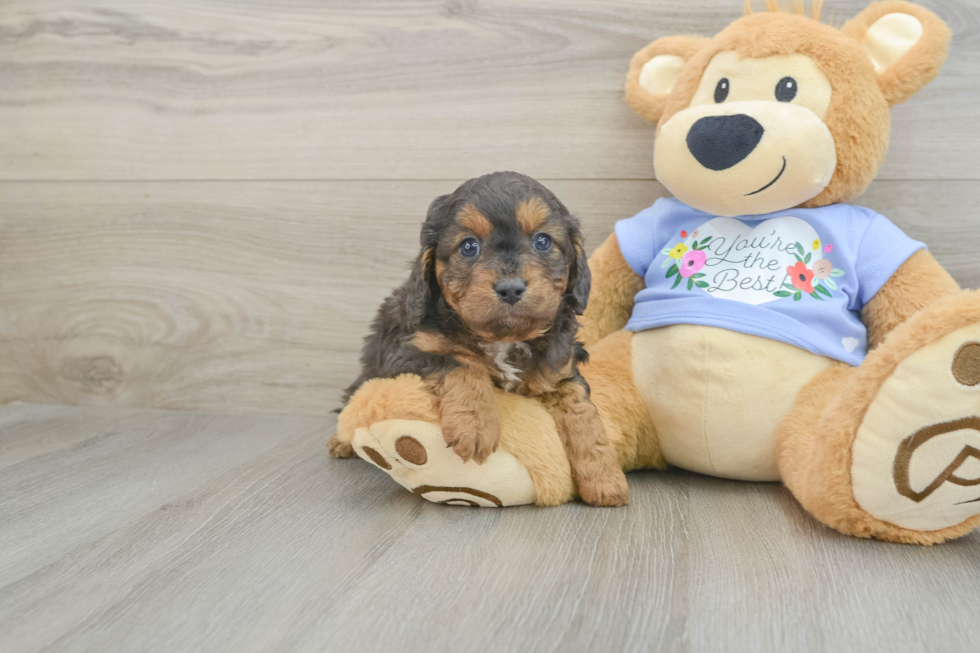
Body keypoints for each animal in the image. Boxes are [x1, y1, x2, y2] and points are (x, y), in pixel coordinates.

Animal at [332, 172, 628, 504]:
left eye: (542, 241)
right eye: (469, 246)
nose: (510, 288)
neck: (503, 338)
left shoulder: (560, 371)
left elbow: (583, 413)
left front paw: (605, 478)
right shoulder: (404, 352)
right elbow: (460, 362)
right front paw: (474, 426)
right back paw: (341, 441)